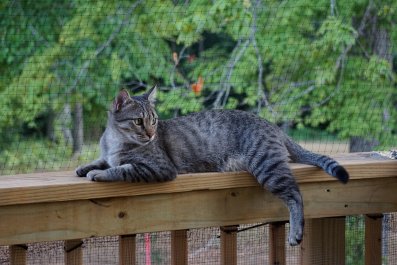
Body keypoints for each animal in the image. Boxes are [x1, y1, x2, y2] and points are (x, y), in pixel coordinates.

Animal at [76, 85, 348, 244]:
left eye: (154, 120)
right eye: (138, 121)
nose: (151, 134)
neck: (115, 140)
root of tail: (272, 125)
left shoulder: (158, 167)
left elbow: (121, 168)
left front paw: (99, 174)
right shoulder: (108, 153)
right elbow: (102, 159)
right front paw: (84, 167)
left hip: (268, 167)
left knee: (295, 195)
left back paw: (296, 232)